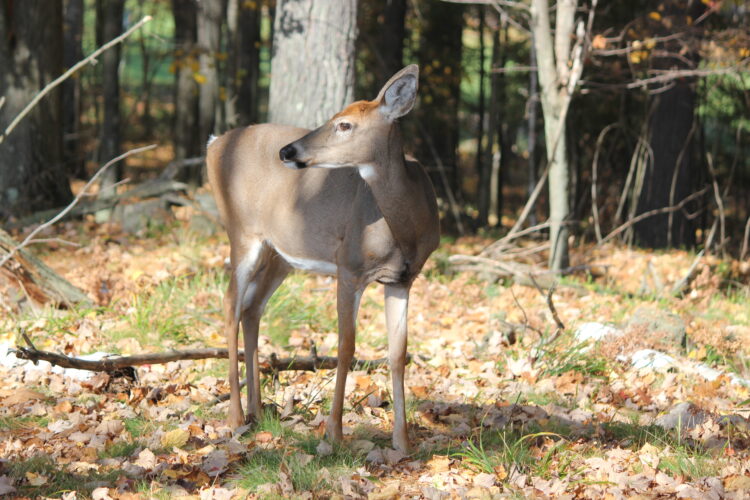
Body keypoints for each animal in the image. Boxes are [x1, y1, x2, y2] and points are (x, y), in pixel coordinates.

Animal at [205, 65, 439, 453]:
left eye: (344, 124)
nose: (288, 151)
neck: (406, 228)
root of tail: (213, 143)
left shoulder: (403, 279)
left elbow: (398, 353)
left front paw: (402, 443)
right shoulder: (349, 266)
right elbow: (346, 347)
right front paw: (334, 433)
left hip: (279, 252)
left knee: (252, 308)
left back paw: (258, 411)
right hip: (241, 231)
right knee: (229, 305)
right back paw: (236, 418)